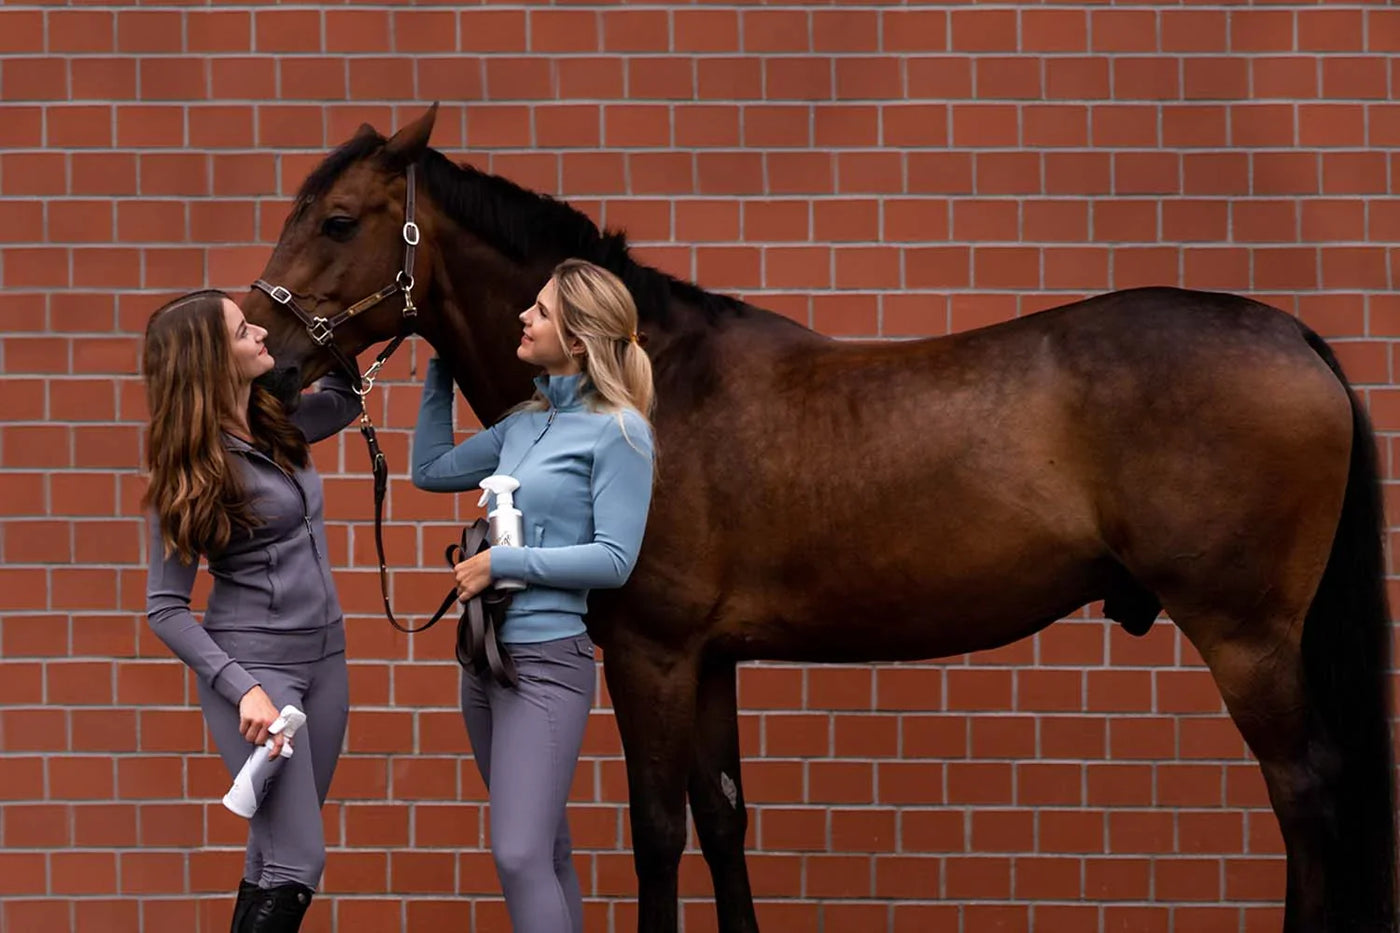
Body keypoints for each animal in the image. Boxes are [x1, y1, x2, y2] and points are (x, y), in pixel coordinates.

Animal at [243, 105, 1395, 933]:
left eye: (337, 221)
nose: (261, 362)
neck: (651, 383)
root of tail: (1292, 335)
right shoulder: (708, 659)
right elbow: (722, 819)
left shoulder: (653, 653)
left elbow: (657, 830)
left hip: (1245, 635)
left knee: (1306, 795)